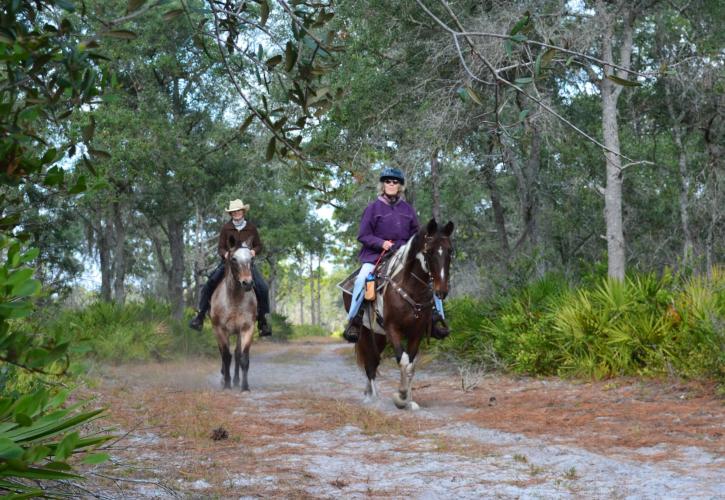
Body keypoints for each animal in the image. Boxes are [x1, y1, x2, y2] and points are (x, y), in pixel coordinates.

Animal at [209, 237, 258, 390]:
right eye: (234, 259)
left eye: (252, 258)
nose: (247, 283)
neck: (234, 299)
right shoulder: (220, 329)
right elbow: (226, 356)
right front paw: (226, 384)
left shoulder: (247, 328)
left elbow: (243, 358)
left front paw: (245, 387)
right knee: (223, 354)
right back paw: (225, 378)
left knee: (236, 354)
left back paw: (236, 381)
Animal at [344, 219, 452, 410]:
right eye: (429, 252)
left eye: (450, 251)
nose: (441, 291)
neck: (410, 288)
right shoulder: (393, 329)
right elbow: (402, 360)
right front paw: (400, 396)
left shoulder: (417, 332)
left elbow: (410, 365)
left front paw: (409, 400)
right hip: (366, 333)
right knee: (370, 363)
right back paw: (373, 398)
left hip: (378, 335)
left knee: (373, 361)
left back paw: (369, 393)